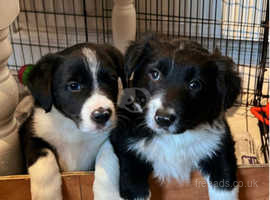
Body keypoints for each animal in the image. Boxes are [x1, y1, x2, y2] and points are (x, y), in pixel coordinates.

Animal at [19, 42, 125, 200]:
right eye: (74, 85)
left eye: (111, 79)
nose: (102, 115)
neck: (75, 130)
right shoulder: (31, 133)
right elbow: (44, 158)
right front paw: (47, 195)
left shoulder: (113, 137)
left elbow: (108, 158)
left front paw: (107, 195)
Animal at [94, 34, 240, 200]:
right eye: (155, 74)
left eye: (195, 84)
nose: (163, 119)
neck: (174, 138)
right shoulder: (129, 152)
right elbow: (135, 188)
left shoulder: (219, 147)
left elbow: (224, 185)